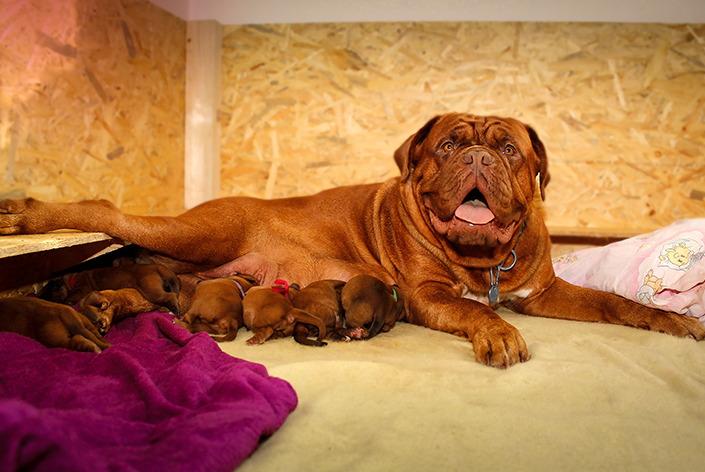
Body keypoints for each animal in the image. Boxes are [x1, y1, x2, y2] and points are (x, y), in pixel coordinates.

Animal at [0, 112, 700, 366]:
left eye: (507, 148)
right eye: (448, 144)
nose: (476, 155)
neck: (482, 263)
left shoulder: (546, 292)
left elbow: (614, 304)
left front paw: (672, 319)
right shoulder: (426, 295)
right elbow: (477, 313)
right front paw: (497, 333)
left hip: (186, 268)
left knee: (145, 291)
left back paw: (102, 306)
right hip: (193, 232)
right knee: (103, 210)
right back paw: (23, 215)